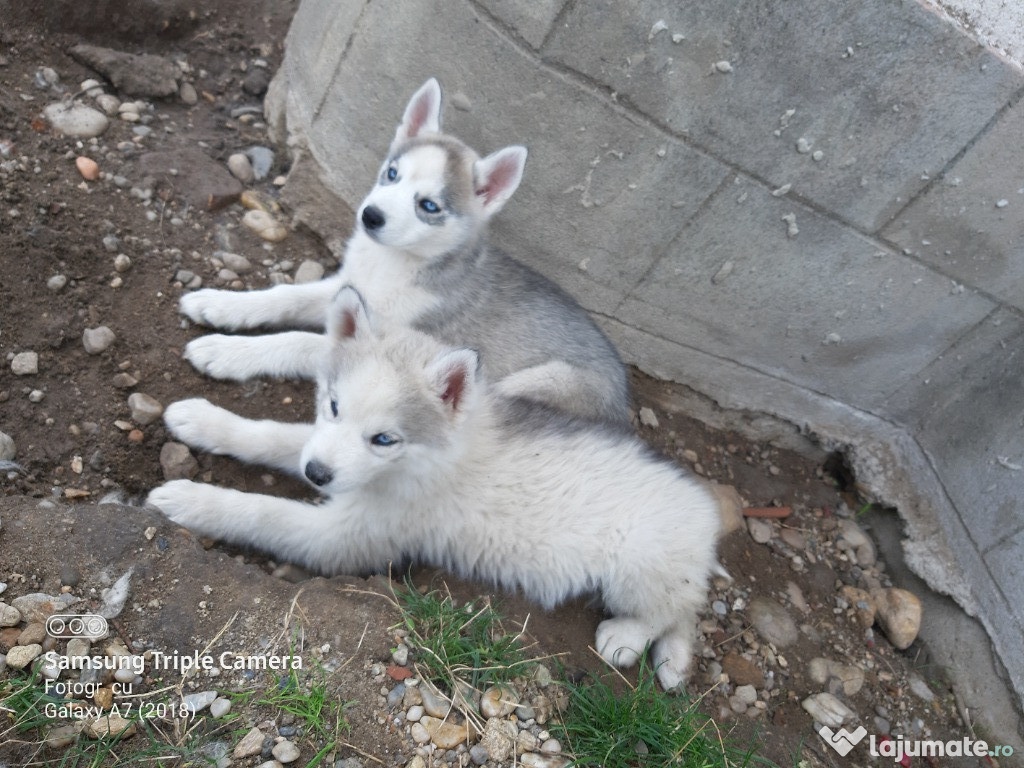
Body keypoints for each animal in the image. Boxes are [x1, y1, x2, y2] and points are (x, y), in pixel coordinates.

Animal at [148, 288, 720, 692]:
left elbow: (262, 512)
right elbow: (274, 436)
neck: (423, 461)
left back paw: (629, 640)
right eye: (332, 405)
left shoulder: (346, 537)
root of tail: (707, 516)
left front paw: (189, 500)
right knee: (687, 608)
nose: (317, 476)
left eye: (385, 439)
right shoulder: (321, 449)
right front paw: (201, 420)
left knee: (671, 610)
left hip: (638, 562)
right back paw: (674, 661)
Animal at [181, 76, 626, 428]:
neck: (391, 262)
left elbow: (298, 341)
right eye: (392, 174)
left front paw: (224, 351)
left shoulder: (389, 344)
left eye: (428, 205)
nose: (370, 215)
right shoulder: (349, 286)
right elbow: (284, 295)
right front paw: (218, 304)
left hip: (536, 382)